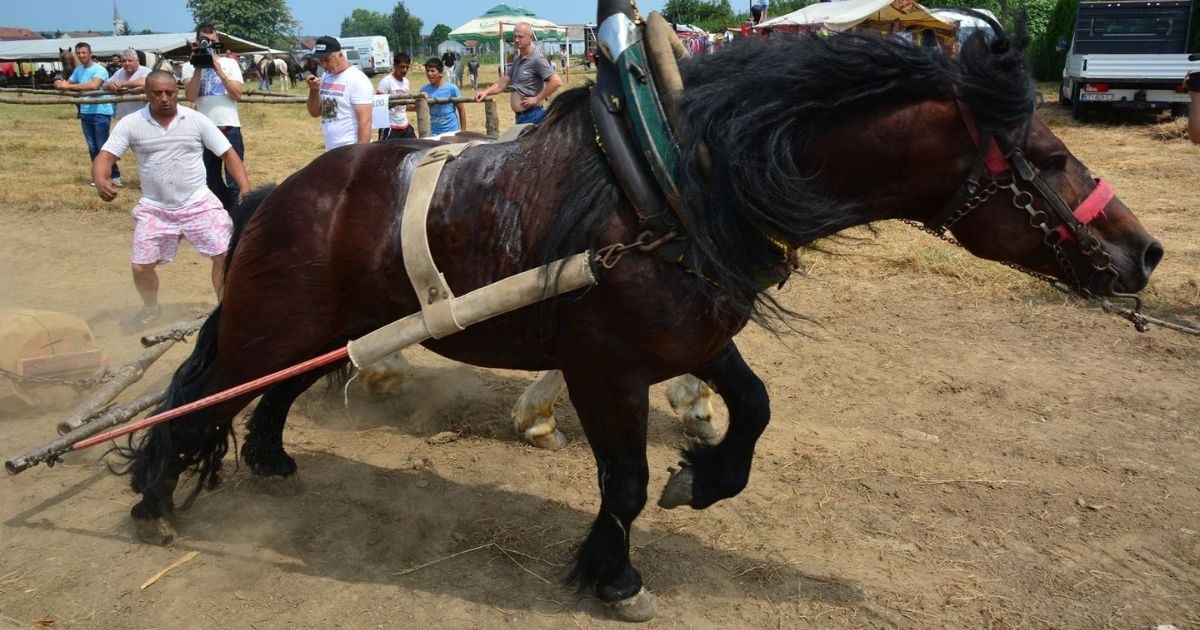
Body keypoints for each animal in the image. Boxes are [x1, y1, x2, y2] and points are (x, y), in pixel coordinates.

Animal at [117, 7, 1156, 619]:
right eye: (1048, 157)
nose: (1144, 254)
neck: (678, 188)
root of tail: (278, 192)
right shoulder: (607, 369)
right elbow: (620, 483)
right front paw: (613, 573)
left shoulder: (694, 335)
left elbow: (753, 410)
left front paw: (704, 478)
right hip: (272, 323)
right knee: (198, 394)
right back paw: (156, 500)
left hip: (320, 330)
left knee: (270, 393)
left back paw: (271, 459)